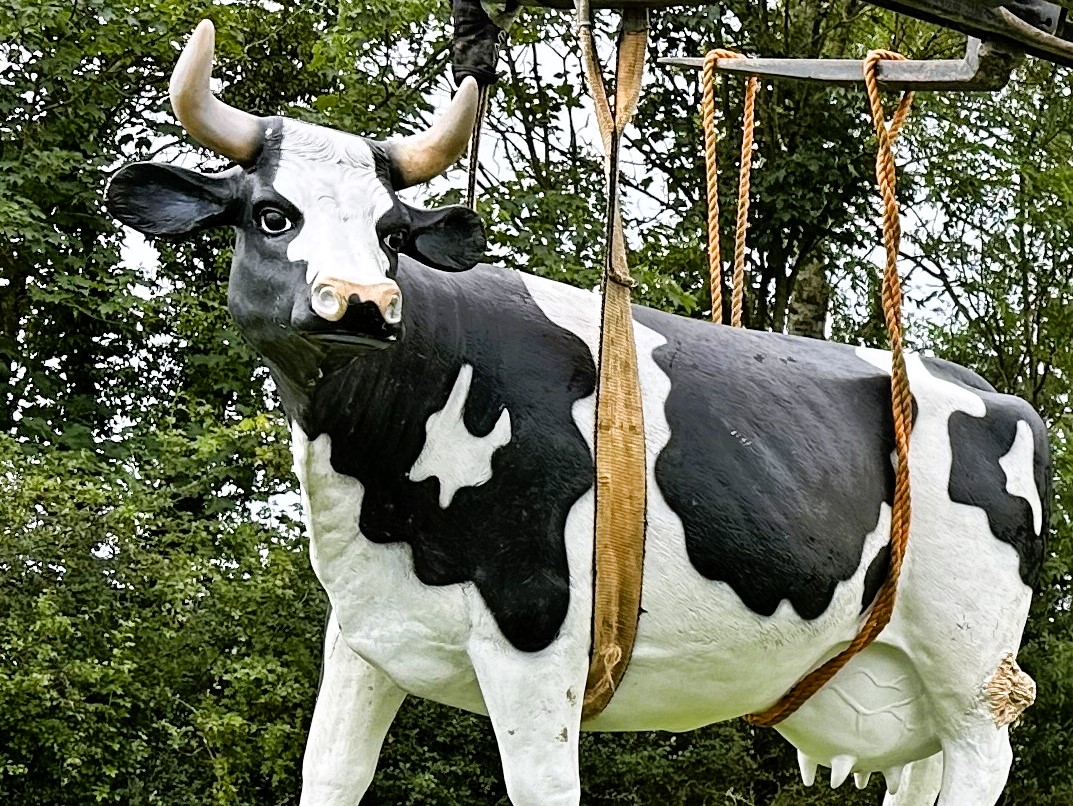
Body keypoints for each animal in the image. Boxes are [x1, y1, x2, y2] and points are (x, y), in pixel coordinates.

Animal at [106, 20, 1049, 806]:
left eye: (390, 234)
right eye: (271, 215)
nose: (364, 303)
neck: (377, 489)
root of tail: (983, 387)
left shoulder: (535, 635)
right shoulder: (362, 635)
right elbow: (331, 772)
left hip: (973, 665)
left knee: (980, 758)